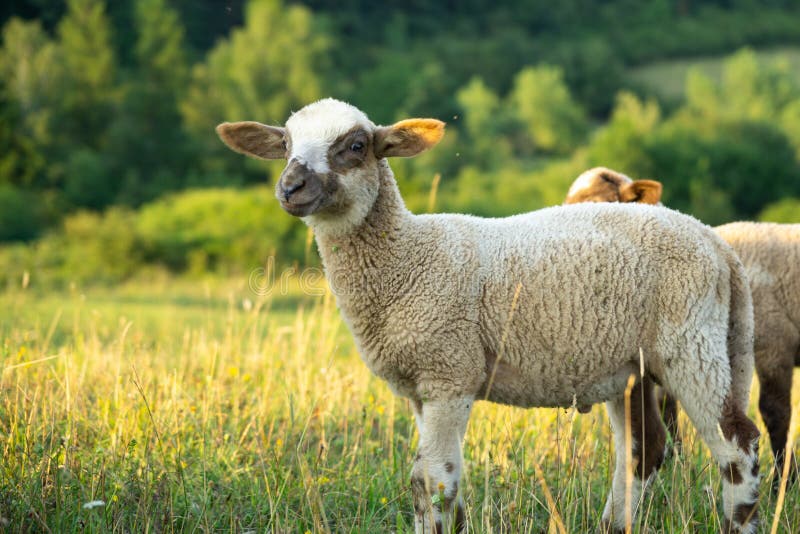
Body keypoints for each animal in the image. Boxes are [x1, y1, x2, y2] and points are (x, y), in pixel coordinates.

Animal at [217, 100, 764, 534]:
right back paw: (613, 525)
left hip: (691, 342)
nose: (290, 187)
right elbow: (432, 480)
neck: (407, 258)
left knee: (738, 446)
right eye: (285, 143)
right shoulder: (422, 385)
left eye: (355, 145)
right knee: (643, 449)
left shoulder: (448, 370)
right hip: (636, 365)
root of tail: (716, 244)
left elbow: (432, 480)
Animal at [564, 168, 800, 482]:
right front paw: (675, 464)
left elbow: (776, 412)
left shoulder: (775, 343)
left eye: (603, 205)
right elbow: (667, 405)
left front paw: (785, 480)